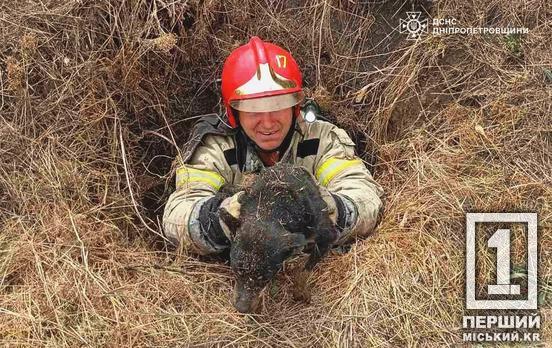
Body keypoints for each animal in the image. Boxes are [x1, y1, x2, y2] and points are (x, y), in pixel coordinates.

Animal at [219, 162, 338, 312]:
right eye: (236, 270)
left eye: (265, 278)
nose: (241, 308)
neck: (270, 208)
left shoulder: (327, 235)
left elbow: (305, 269)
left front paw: (299, 291)